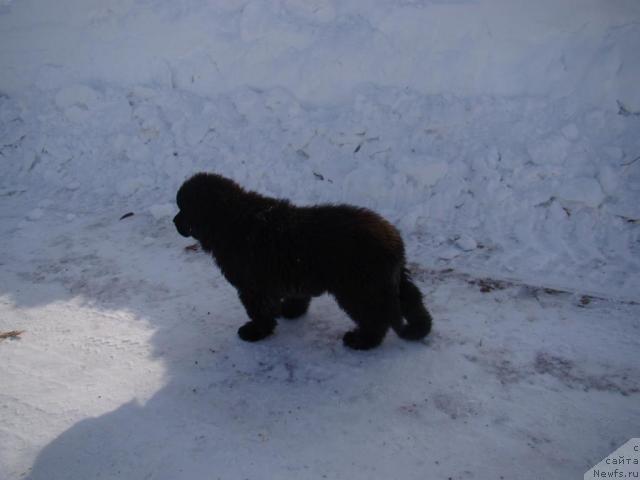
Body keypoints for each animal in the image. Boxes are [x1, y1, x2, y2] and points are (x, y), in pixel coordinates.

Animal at [172, 172, 432, 348]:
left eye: (183, 208)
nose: (174, 222)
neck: (229, 219)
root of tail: (393, 240)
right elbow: (295, 296)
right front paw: (291, 310)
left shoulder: (253, 286)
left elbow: (259, 311)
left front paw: (256, 331)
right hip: (393, 279)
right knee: (413, 302)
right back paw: (420, 328)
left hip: (359, 289)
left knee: (375, 318)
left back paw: (362, 340)